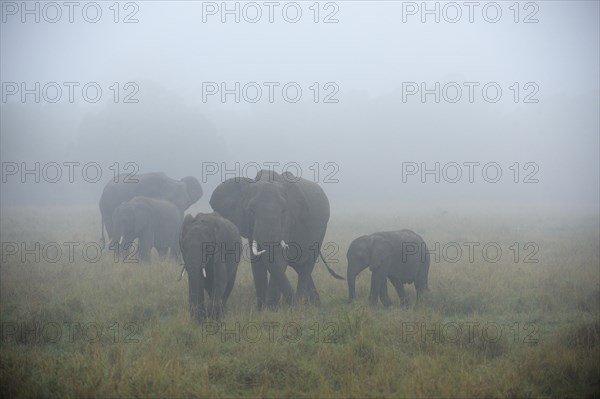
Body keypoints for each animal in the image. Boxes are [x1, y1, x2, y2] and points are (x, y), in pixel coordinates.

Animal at [210, 170, 342, 310]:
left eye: (283, 211)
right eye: (250, 211)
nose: (292, 306)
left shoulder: (288, 222)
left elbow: (280, 259)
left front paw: (272, 310)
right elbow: (257, 262)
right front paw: (261, 311)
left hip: (322, 230)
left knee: (306, 266)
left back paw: (303, 304)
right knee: (299, 266)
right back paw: (313, 304)